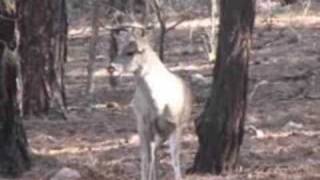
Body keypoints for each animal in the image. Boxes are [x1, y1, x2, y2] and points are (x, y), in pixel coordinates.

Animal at [107, 28, 192, 180]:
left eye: (131, 52)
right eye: (119, 49)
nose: (111, 67)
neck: (159, 105)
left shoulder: (175, 125)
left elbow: (175, 160)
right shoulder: (143, 123)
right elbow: (145, 159)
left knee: (157, 153)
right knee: (153, 155)